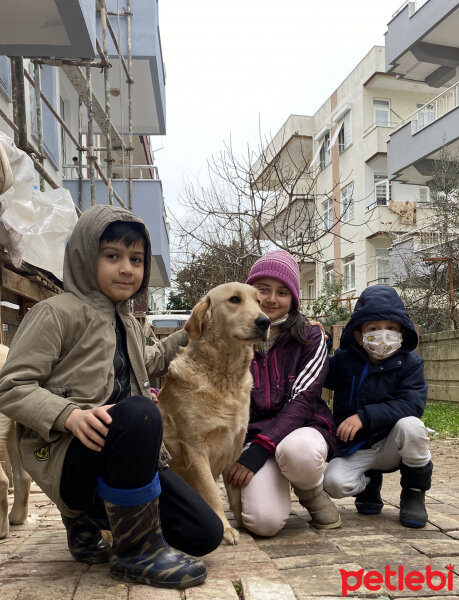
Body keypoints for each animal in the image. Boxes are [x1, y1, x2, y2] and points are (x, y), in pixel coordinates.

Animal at [160, 282, 272, 544]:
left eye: (259, 301)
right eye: (234, 299)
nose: (265, 321)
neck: (225, 377)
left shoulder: (234, 448)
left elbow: (236, 495)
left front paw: (243, 523)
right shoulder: (195, 449)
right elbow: (211, 491)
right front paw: (225, 528)